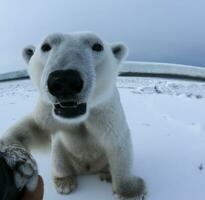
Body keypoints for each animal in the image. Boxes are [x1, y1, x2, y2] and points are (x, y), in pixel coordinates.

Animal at [0, 32, 147, 199]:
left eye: (97, 46)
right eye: (45, 46)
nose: (64, 80)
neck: (80, 116)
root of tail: (88, 168)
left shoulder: (105, 111)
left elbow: (117, 141)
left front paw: (132, 191)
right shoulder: (48, 111)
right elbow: (35, 127)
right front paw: (18, 160)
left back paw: (107, 174)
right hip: (63, 156)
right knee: (59, 160)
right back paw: (64, 182)